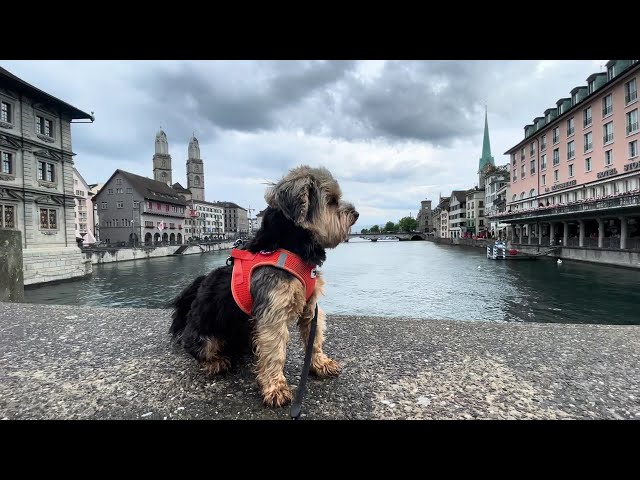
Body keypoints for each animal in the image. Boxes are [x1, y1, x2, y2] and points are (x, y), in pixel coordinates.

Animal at [168, 165, 360, 404]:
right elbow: (275, 351)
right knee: (200, 350)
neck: (290, 246)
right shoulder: (273, 312)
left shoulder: (310, 307)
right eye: (332, 200)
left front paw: (320, 364)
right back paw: (216, 362)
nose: (356, 214)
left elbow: (314, 339)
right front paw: (276, 387)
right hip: (205, 336)